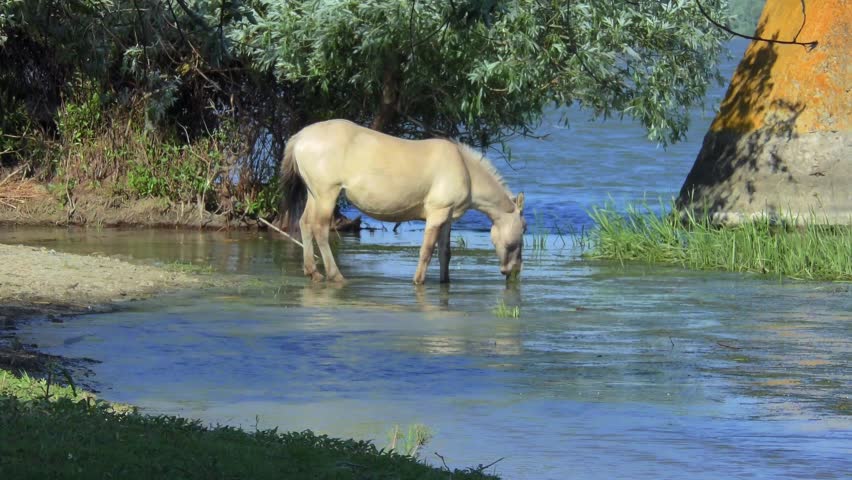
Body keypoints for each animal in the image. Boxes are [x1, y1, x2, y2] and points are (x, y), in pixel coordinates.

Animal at [278, 119, 525, 284]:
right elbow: (426, 251)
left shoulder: (447, 218)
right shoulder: (437, 214)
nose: (514, 270)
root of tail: (300, 137)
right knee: (319, 229)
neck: (465, 170)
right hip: (326, 194)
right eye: (524, 227)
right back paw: (335, 275)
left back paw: (312, 271)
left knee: (304, 224)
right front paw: (418, 281)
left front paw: (445, 282)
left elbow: (445, 253)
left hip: (314, 194)